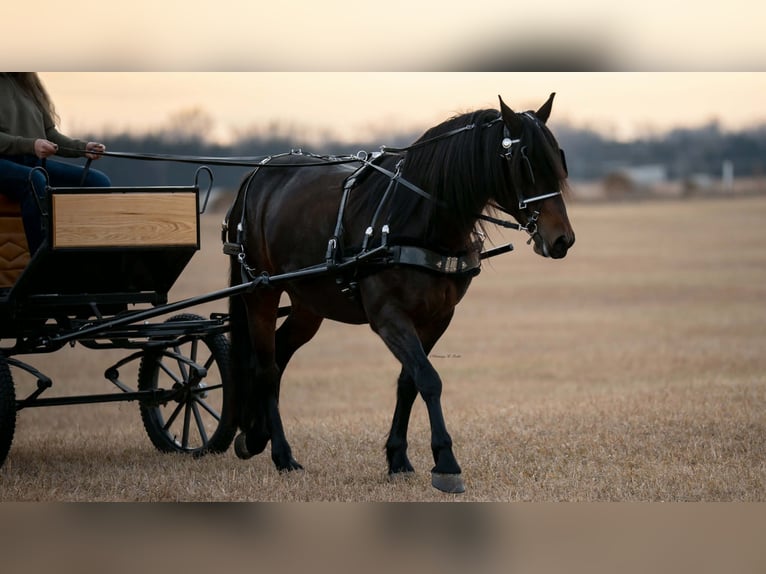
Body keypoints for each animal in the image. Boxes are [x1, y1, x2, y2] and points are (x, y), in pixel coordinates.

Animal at [224, 93, 575, 493]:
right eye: (525, 162)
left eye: (557, 157)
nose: (562, 239)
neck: (421, 221)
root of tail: (256, 174)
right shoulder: (389, 318)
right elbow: (429, 379)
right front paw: (446, 462)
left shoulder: (438, 317)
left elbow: (410, 381)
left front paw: (398, 458)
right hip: (261, 292)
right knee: (266, 367)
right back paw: (281, 453)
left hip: (308, 305)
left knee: (280, 354)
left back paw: (256, 436)